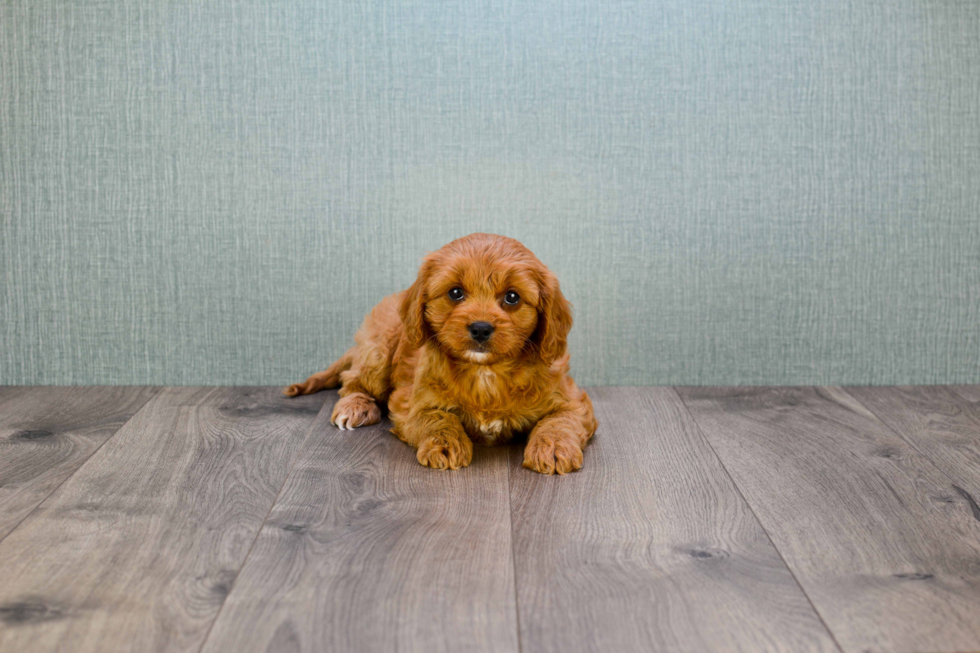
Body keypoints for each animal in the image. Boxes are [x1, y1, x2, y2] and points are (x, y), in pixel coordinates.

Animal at [284, 234, 596, 474]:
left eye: (512, 297)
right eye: (455, 293)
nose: (480, 328)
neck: (486, 372)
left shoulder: (572, 401)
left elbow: (558, 421)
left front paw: (553, 447)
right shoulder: (413, 403)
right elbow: (439, 419)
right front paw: (446, 445)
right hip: (379, 347)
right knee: (353, 380)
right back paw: (354, 406)